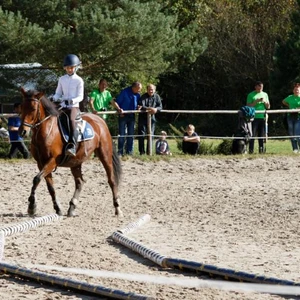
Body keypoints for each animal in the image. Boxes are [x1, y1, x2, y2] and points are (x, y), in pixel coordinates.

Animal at [18, 88, 122, 217]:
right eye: (22, 107)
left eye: (33, 108)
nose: (22, 131)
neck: (46, 131)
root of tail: (100, 121)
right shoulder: (41, 163)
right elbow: (49, 186)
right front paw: (57, 208)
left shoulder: (52, 161)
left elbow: (37, 179)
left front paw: (32, 206)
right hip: (76, 162)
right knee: (80, 182)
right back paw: (72, 207)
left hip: (105, 155)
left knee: (111, 180)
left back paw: (117, 208)